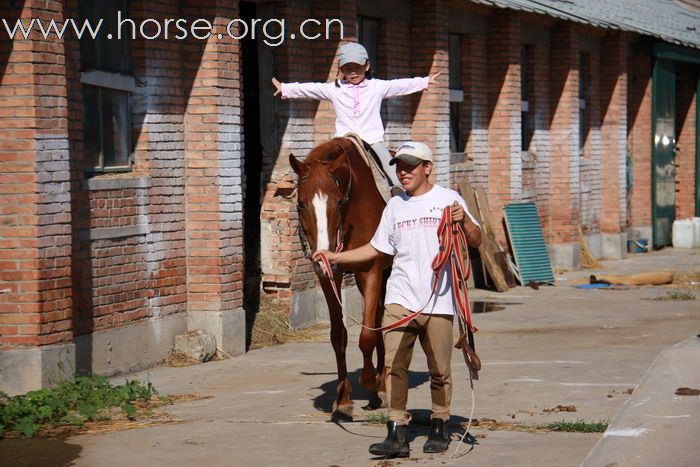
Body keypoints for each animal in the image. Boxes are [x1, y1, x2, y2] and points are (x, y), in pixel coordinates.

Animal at [288, 137, 392, 422]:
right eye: (301, 204)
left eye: (338, 203)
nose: (322, 253)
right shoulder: (328, 274)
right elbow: (339, 336)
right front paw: (343, 401)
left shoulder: (372, 270)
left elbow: (366, 335)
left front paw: (370, 381)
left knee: (379, 322)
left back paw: (381, 384)